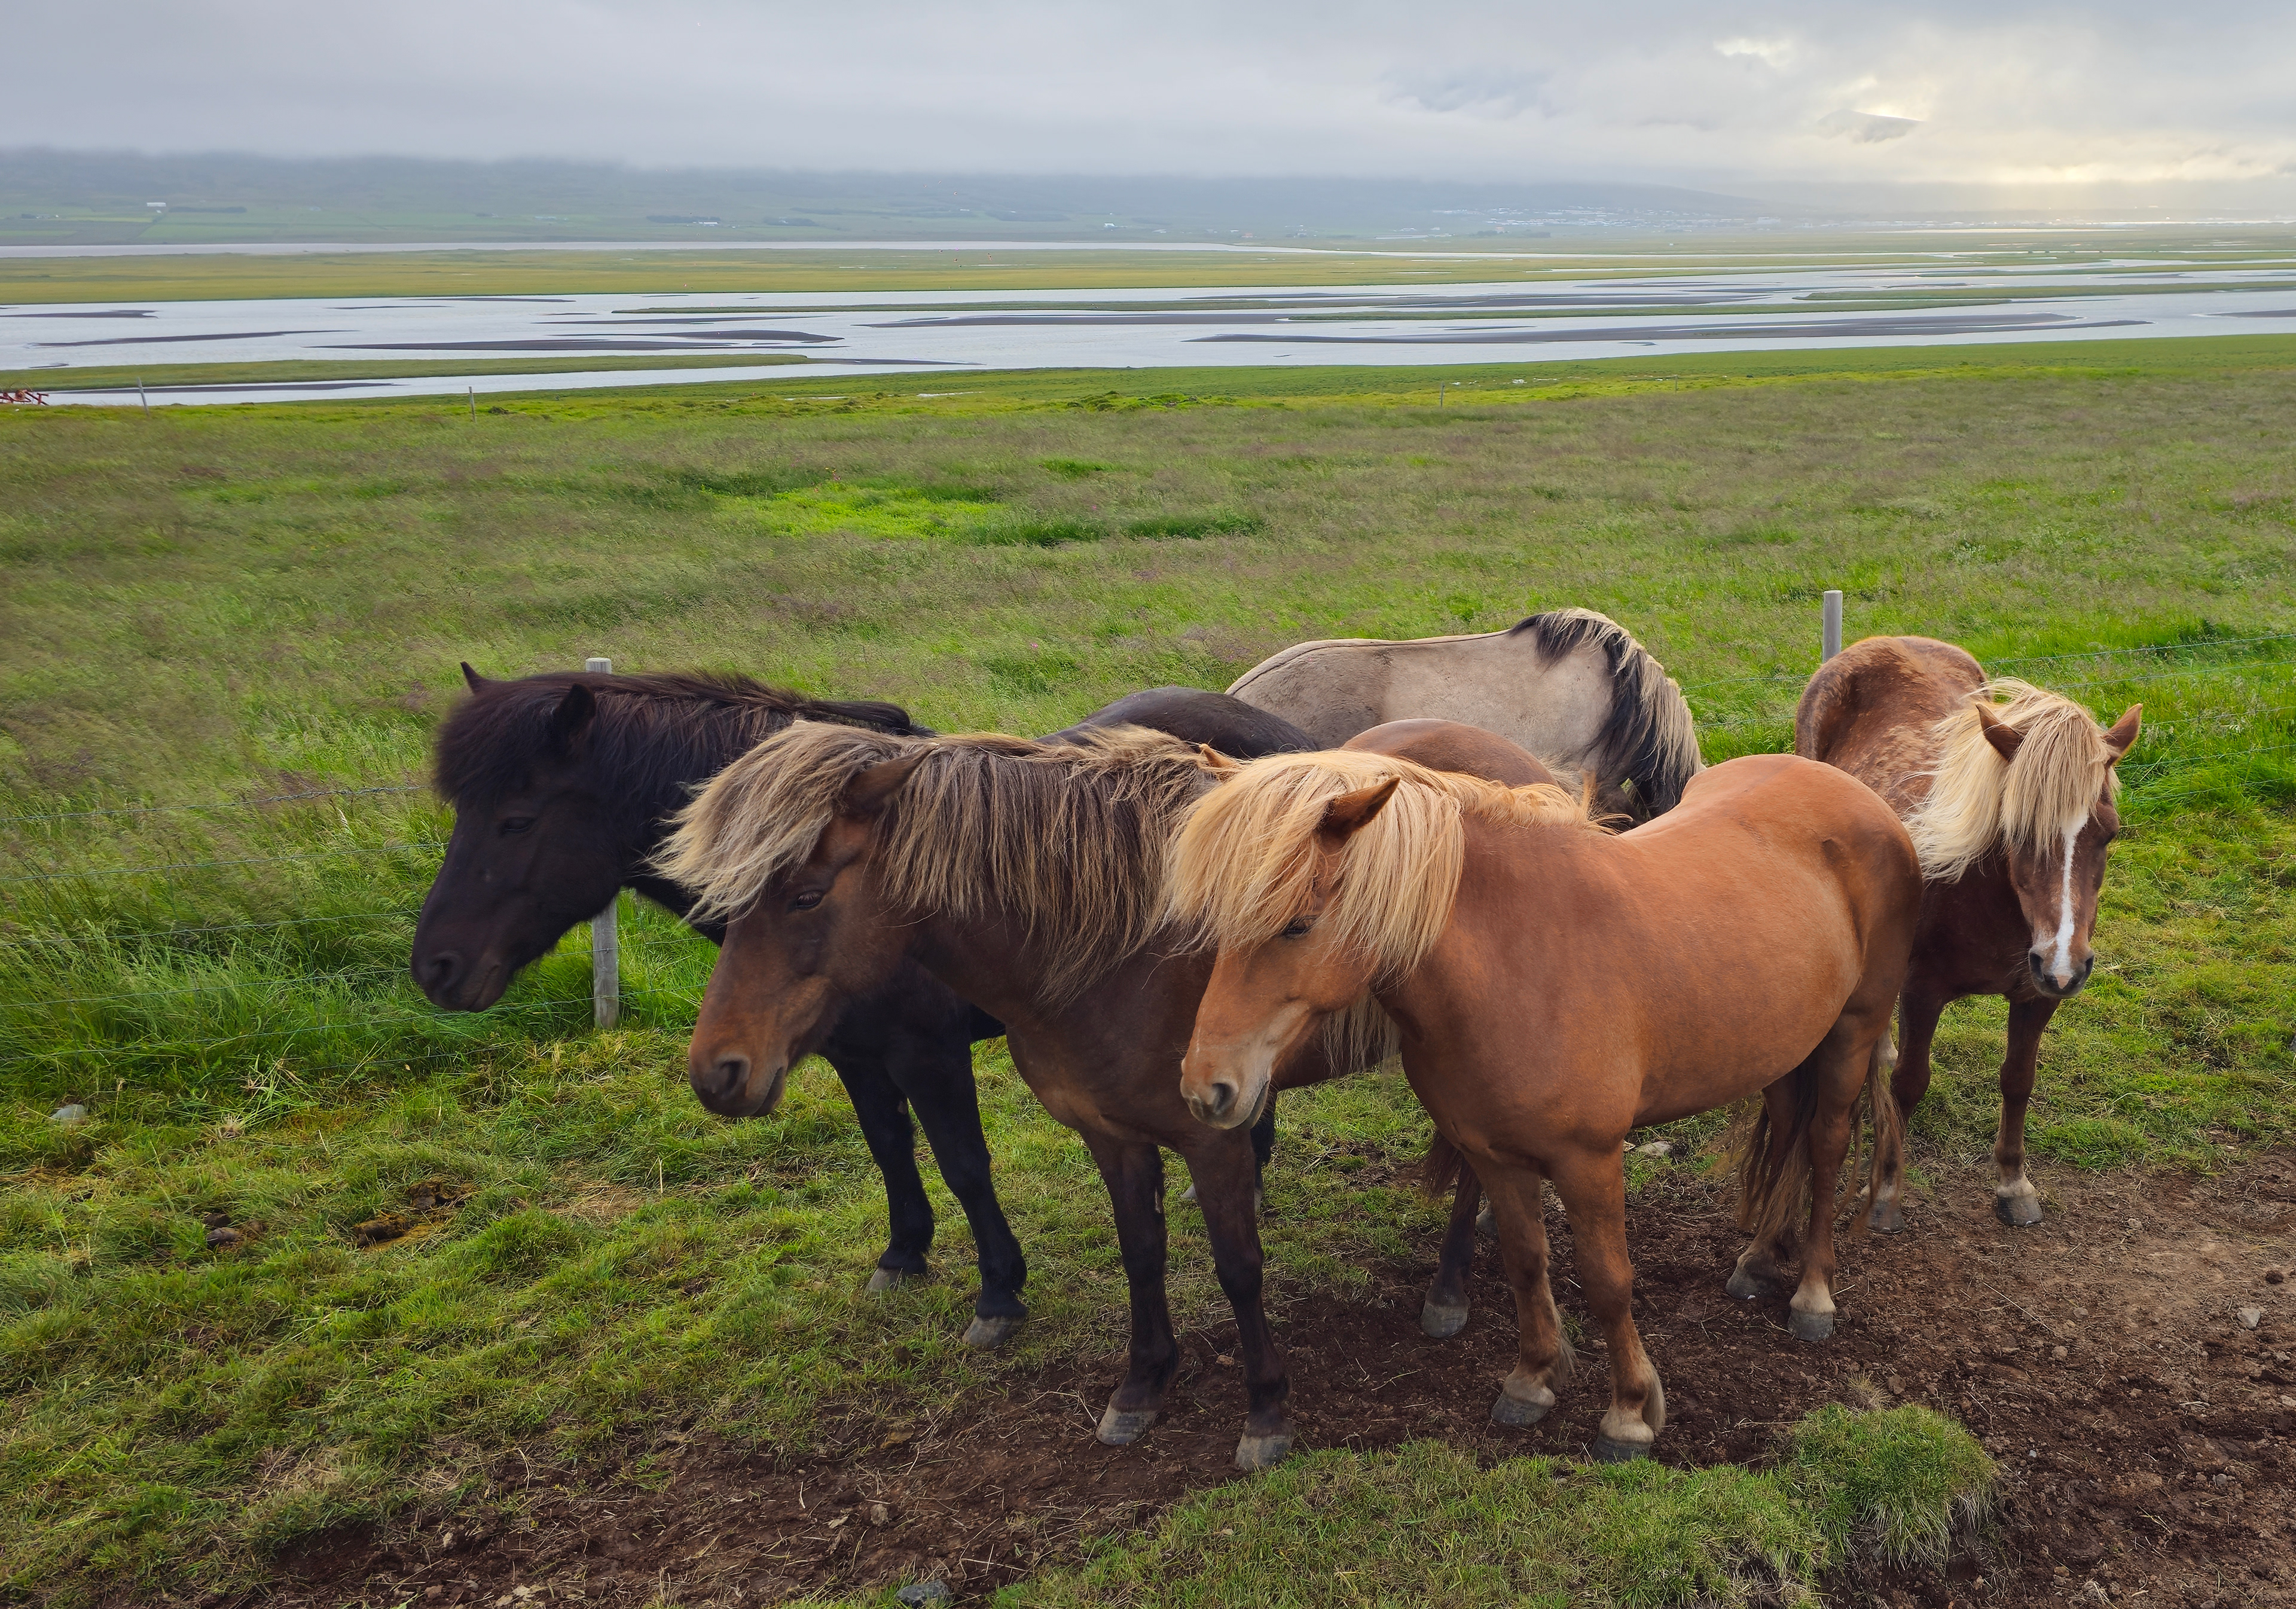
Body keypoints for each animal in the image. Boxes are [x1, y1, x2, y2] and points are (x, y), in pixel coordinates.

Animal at [413, 665, 1304, 1346]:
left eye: (516, 819)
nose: (435, 968)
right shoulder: (852, 1052)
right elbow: (888, 1147)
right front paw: (903, 1254)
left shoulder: (929, 1052)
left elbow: (964, 1163)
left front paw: (998, 1291)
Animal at [656, 719, 1545, 1471]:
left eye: (805, 895)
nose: (717, 1070)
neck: (1122, 947)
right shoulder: (1110, 1135)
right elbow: (1140, 1252)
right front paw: (1142, 1386)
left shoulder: (1214, 1138)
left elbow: (1239, 1268)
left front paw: (1266, 1412)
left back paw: (1450, 1289)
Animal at [1167, 750, 1919, 1462]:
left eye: (1297, 925)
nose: (1208, 1089)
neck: (1515, 965)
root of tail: (1858, 794)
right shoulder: (1493, 1157)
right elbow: (1527, 1261)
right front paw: (1532, 1381)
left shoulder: (1590, 1161)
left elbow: (1609, 1280)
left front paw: (1629, 1413)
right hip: (1780, 1045)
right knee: (1790, 1127)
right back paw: (1759, 1259)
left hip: (1852, 1033)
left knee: (1826, 1146)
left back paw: (1812, 1297)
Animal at [1796, 636, 2140, 1229]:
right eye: (2017, 830)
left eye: (2110, 834)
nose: (2064, 964)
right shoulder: (1922, 991)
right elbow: (1909, 1084)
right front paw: (1886, 1191)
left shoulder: (2037, 995)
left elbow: (2018, 1079)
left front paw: (2013, 1183)